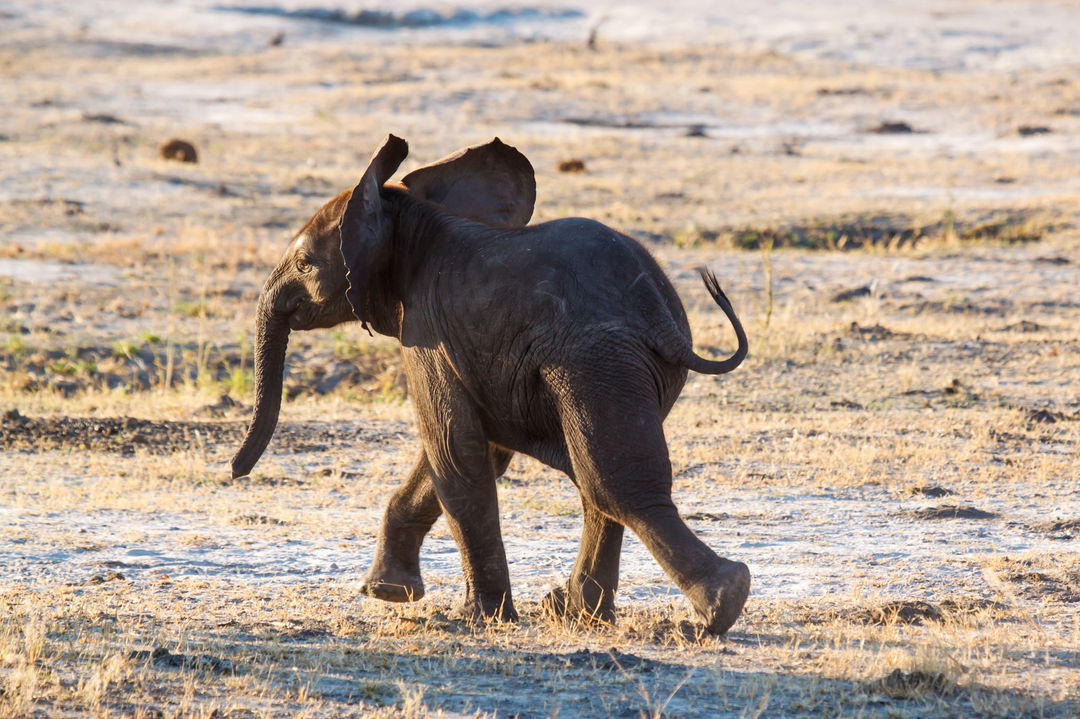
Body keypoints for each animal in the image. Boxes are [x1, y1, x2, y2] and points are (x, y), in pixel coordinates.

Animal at [231, 135, 751, 635]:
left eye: (304, 263)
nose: (236, 473)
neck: (411, 218)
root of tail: (657, 309)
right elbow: (466, 452)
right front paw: (388, 593)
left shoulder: (427, 329)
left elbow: (452, 451)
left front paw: (480, 617)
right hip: (633, 365)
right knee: (596, 480)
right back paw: (580, 614)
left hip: (594, 359)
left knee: (612, 484)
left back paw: (718, 605)